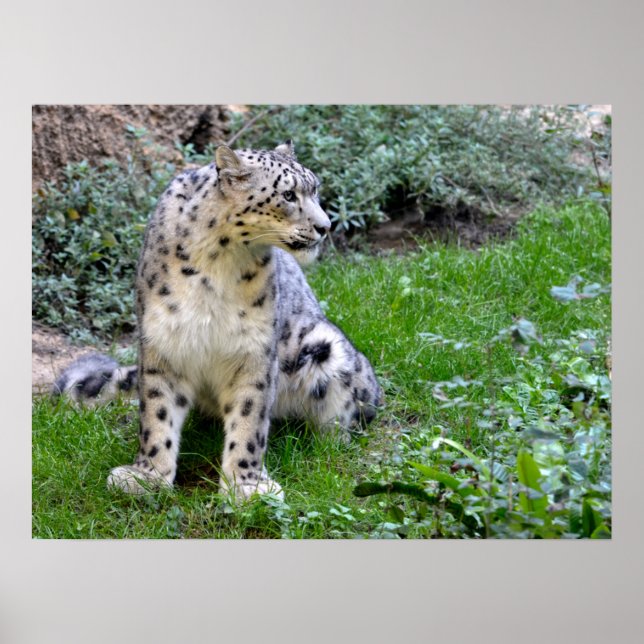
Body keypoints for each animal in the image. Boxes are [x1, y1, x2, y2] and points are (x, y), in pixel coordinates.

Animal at [53, 141, 382, 502]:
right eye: (289, 195)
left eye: (315, 190)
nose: (326, 226)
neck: (216, 261)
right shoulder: (162, 342)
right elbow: (157, 413)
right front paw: (148, 476)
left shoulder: (255, 349)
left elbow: (250, 418)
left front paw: (246, 485)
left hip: (325, 346)